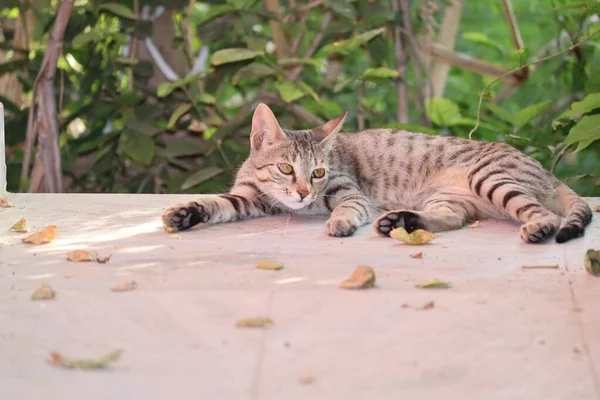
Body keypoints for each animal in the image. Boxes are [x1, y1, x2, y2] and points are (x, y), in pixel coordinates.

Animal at [162, 102, 592, 244]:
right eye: (286, 168)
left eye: (318, 172)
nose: (302, 194)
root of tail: (544, 170)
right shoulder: (249, 198)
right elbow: (214, 202)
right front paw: (183, 213)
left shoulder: (350, 191)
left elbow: (347, 208)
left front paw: (340, 223)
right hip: (451, 199)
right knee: (451, 219)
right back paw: (400, 222)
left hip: (490, 179)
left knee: (546, 215)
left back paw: (538, 229)